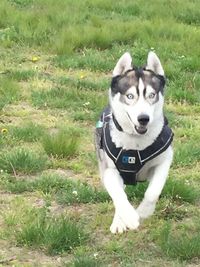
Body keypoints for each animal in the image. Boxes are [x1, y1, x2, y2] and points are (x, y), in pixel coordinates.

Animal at [95, 51, 173, 233]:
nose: (143, 118)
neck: (135, 142)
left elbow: (153, 191)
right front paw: (129, 217)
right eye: (130, 96)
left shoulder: (165, 160)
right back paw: (120, 220)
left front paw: (144, 211)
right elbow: (118, 195)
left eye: (151, 95)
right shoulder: (109, 170)